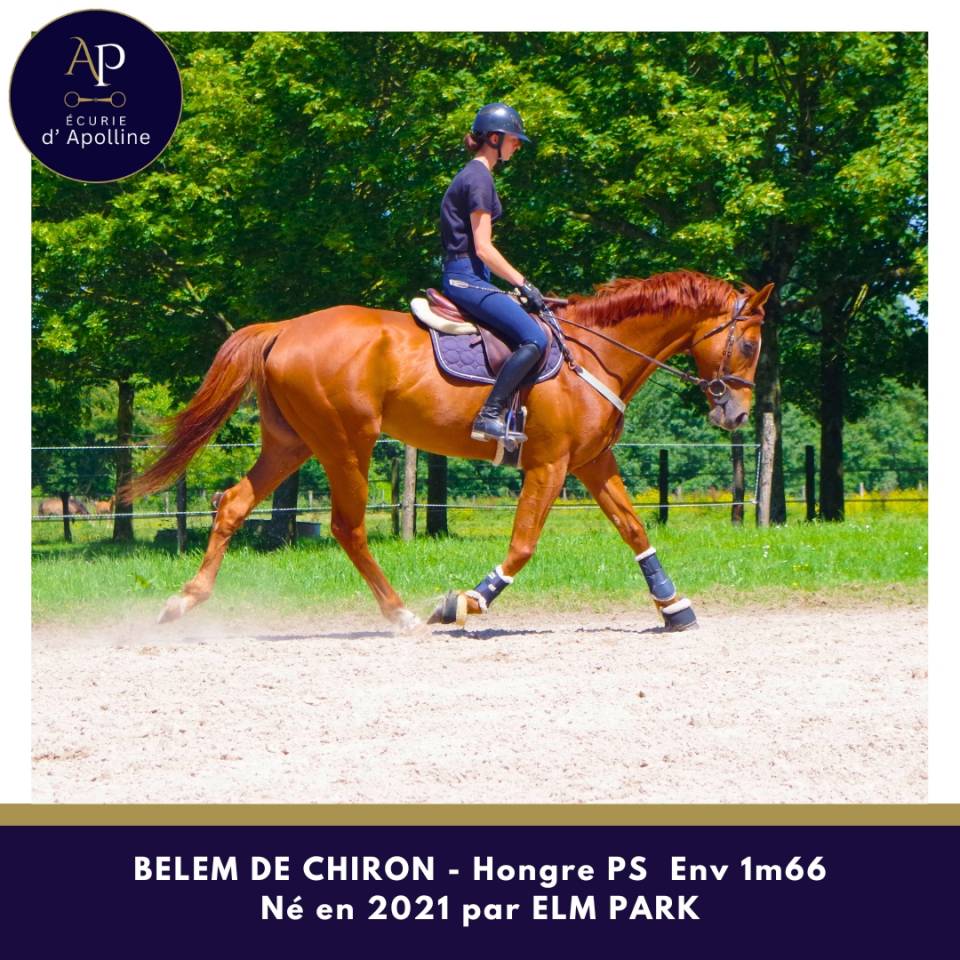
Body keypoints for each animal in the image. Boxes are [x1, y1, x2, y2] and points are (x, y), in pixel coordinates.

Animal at [125, 270, 772, 631]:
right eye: (747, 343)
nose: (738, 414)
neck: (595, 352)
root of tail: (284, 327)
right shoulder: (550, 464)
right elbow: (523, 544)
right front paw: (465, 602)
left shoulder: (593, 462)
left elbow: (635, 529)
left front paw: (673, 606)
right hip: (345, 444)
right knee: (346, 527)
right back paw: (402, 613)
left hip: (293, 443)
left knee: (234, 503)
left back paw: (183, 602)